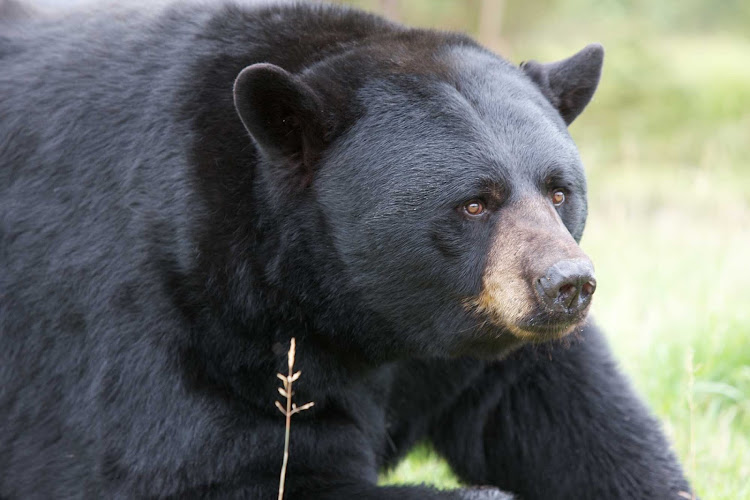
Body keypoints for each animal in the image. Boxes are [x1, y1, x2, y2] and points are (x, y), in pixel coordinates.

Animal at [0, 0, 692, 500]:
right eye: (475, 203)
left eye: (558, 190)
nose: (568, 283)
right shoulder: (187, 308)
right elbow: (222, 467)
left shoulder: (493, 352)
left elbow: (583, 428)